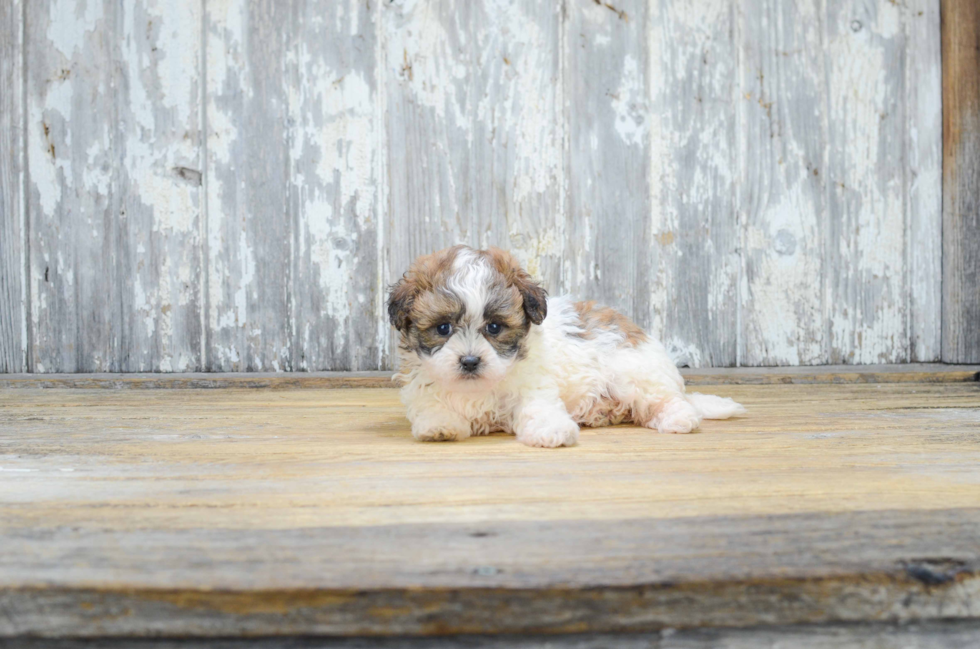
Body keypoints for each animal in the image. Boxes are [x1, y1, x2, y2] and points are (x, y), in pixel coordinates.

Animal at [386, 246, 748, 448]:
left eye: (494, 327)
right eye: (443, 328)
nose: (470, 361)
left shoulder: (533, 386)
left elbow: (539, 407)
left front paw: (552, 430)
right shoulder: (423, 388)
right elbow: (432, 407)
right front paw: (439, 427)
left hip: (634, 374)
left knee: (665, 400)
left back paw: (679, 418)